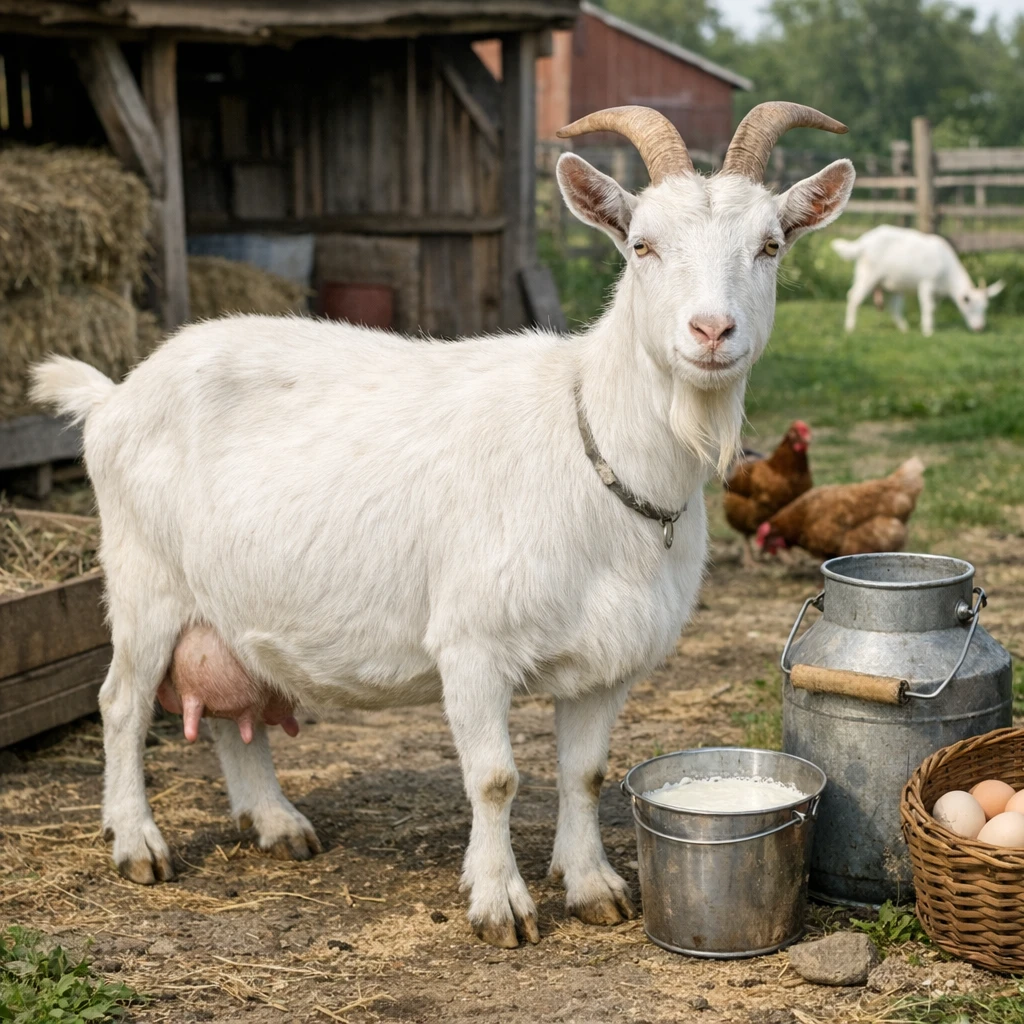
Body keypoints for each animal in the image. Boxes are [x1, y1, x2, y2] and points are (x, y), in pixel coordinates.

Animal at [32, 102, 854, 949]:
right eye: (642, 245)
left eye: (770, 245)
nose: (712, 332)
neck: (592, 453)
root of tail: (114, 395)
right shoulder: (472, 646)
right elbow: (493, 779)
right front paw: (500, 905)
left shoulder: (609, 661)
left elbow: (583, 773)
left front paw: (592, 885)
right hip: (144, 583)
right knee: (122, 704)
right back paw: (137, 843)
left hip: (228, 601)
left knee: (236, 711)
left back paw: (277, 822)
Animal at [833, 225, 1004, 336]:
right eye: (970, 305)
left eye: (985, 308)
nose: (980, 328)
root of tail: (862, 243)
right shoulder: (926, 284)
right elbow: (927, 307)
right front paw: (928, 331)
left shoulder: (938, 293)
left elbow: (933, 308)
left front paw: (928, 326)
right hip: (868, 275)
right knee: (853, 296)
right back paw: (850, 328)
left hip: (894, 284)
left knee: (894, 307)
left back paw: (904, 329)